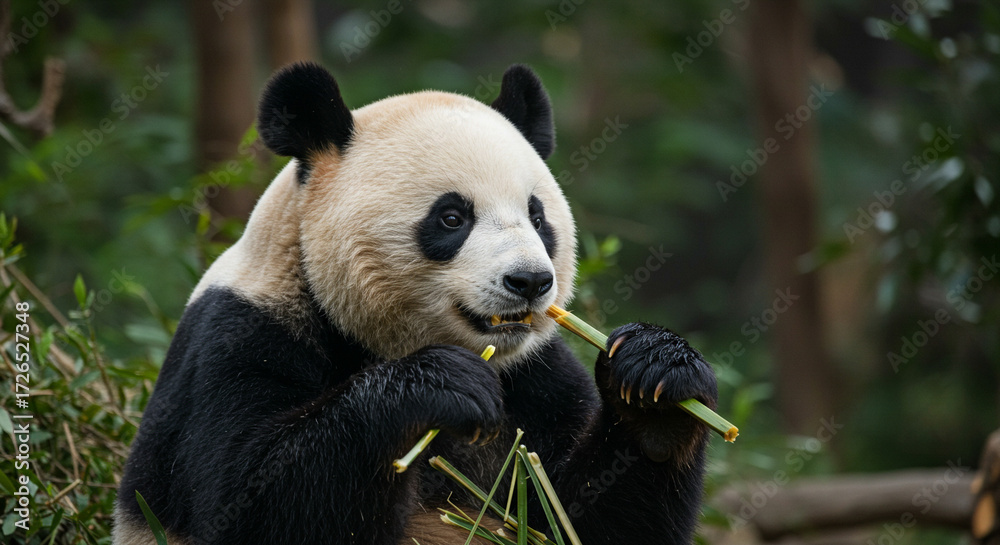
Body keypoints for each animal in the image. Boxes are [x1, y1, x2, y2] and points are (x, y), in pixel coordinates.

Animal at [113, 62, 718, 545]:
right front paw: (440, 386)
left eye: (538, 216)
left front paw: (656, 382)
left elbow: (574, 517)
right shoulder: (242, 333)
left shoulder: (536, 377)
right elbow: (248, 501)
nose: (529, 282)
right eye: (452, 217)